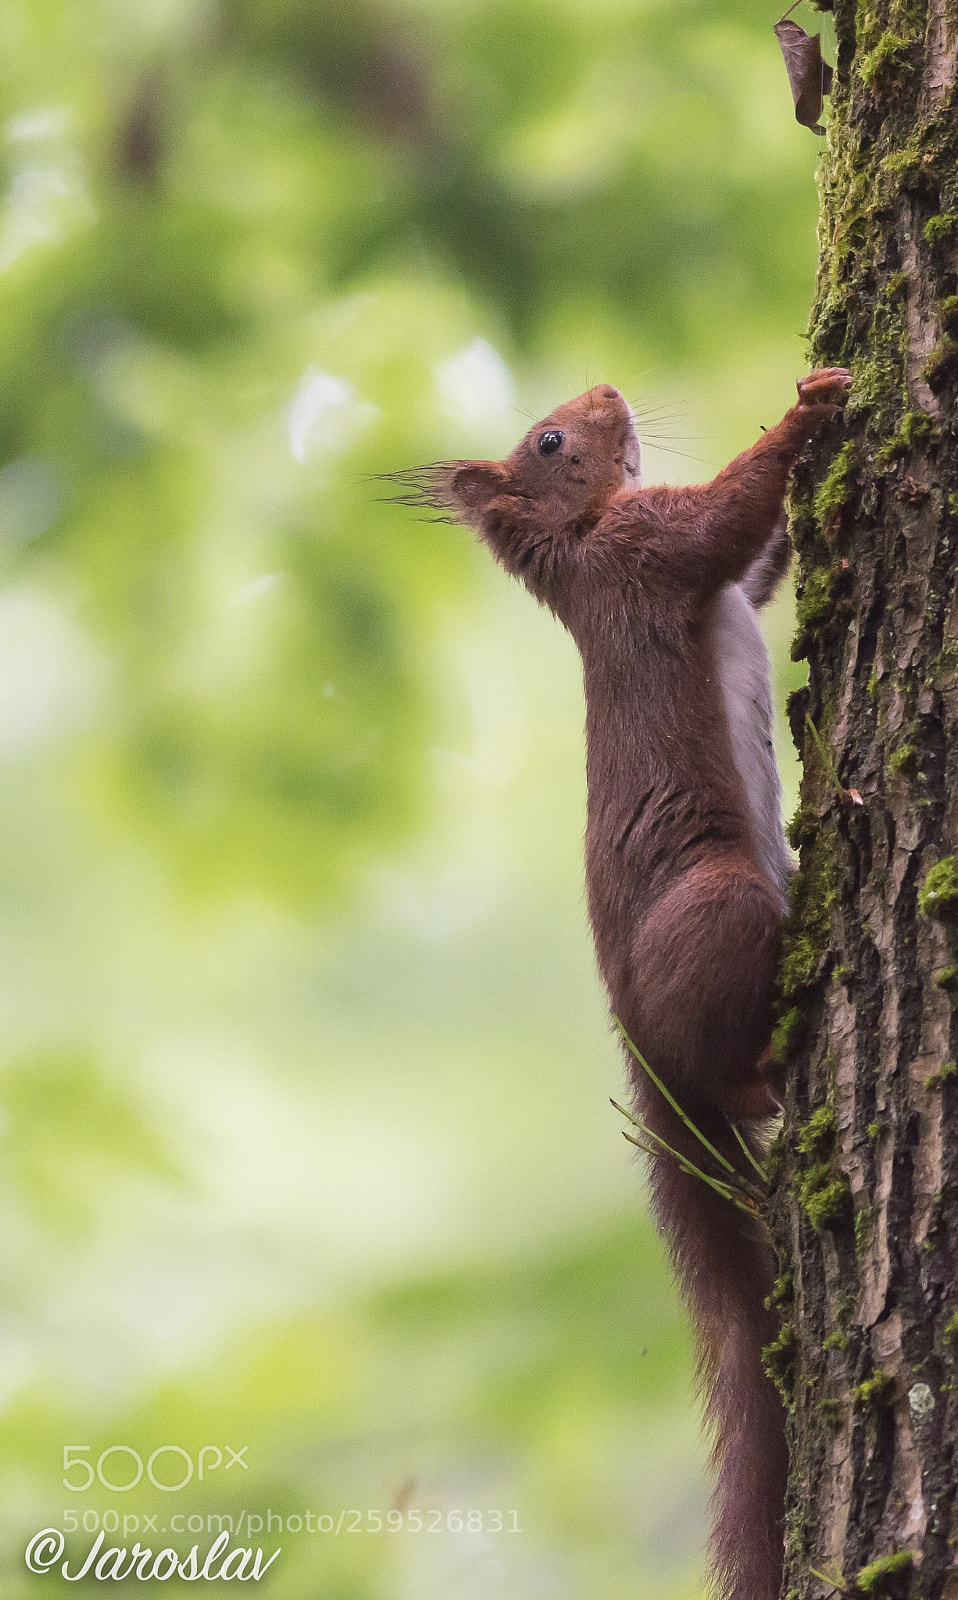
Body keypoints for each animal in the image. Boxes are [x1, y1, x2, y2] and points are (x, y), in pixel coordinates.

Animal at [387, 365, 851, 1600]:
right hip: (719, 906)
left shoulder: (679, 567)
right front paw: (809, 405)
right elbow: (723, 523)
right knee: (724, 1058)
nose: (605, 386)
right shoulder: (646, 552)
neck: (582, 541)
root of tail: (635, 1041)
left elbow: (757, 567)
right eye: (549, 441)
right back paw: (759, 1071)